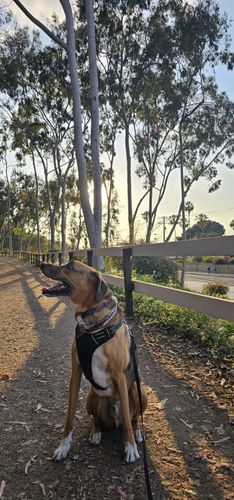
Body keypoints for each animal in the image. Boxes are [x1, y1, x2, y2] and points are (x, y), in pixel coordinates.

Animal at [40, 260, 146, 462]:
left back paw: (137, 433)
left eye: (70, 267)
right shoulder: (76, 373)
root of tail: (114, 420)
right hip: (91, 397)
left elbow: (128, 420)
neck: (93, 325)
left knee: (133, 418)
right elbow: (69, 416)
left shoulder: (120, 377)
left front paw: (130, 447)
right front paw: (64, 446)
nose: (41, 263)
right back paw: (96, 433)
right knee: (97, 420)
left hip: (139, 392)